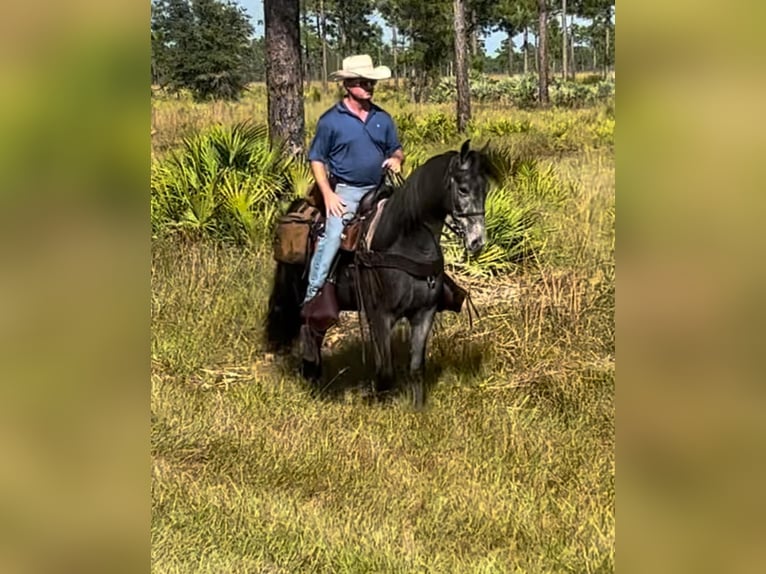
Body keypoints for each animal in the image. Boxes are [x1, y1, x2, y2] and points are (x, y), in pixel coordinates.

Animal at [266, 140, 498, 410]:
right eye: (462, 189)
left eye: (485, 189)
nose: (477, 241)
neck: (405, 243)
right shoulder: (380, 315)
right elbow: (385, 369)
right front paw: (378, 404)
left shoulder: (424, 314)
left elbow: (416, 367)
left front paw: (417, 408)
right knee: (308, 329)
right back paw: (312, 379)